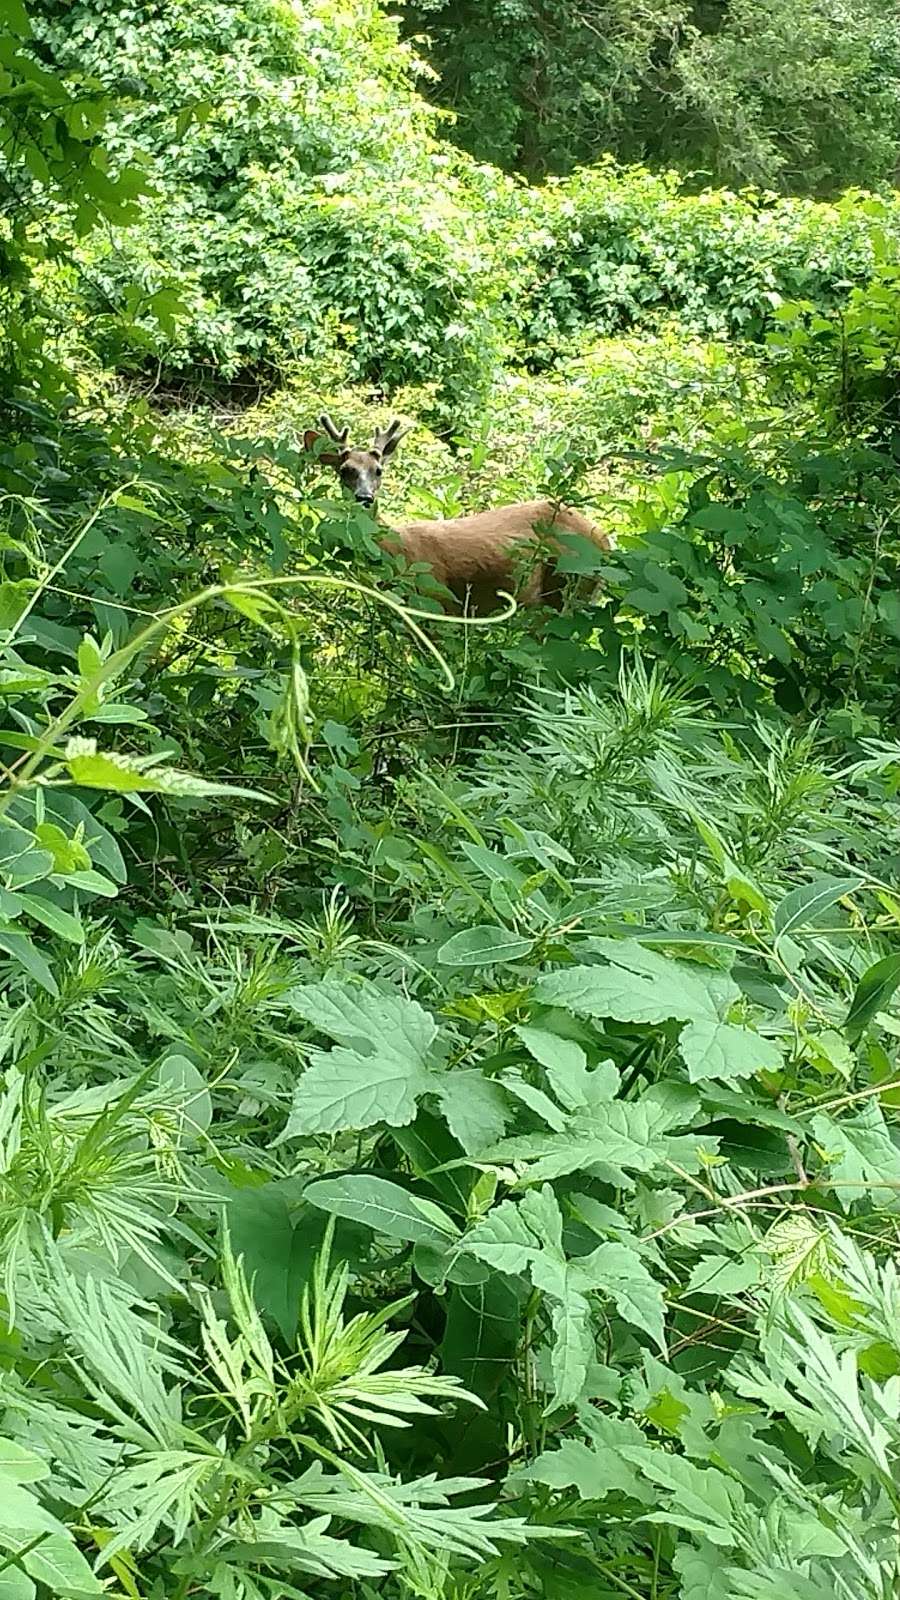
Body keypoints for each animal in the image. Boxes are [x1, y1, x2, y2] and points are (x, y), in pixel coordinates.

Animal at [297, 409, 605, 614]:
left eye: (378, 470)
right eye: (345, 470)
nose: (364, 498)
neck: (397, 549)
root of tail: (604, 539)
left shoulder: (438, 599)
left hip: (569, 583)